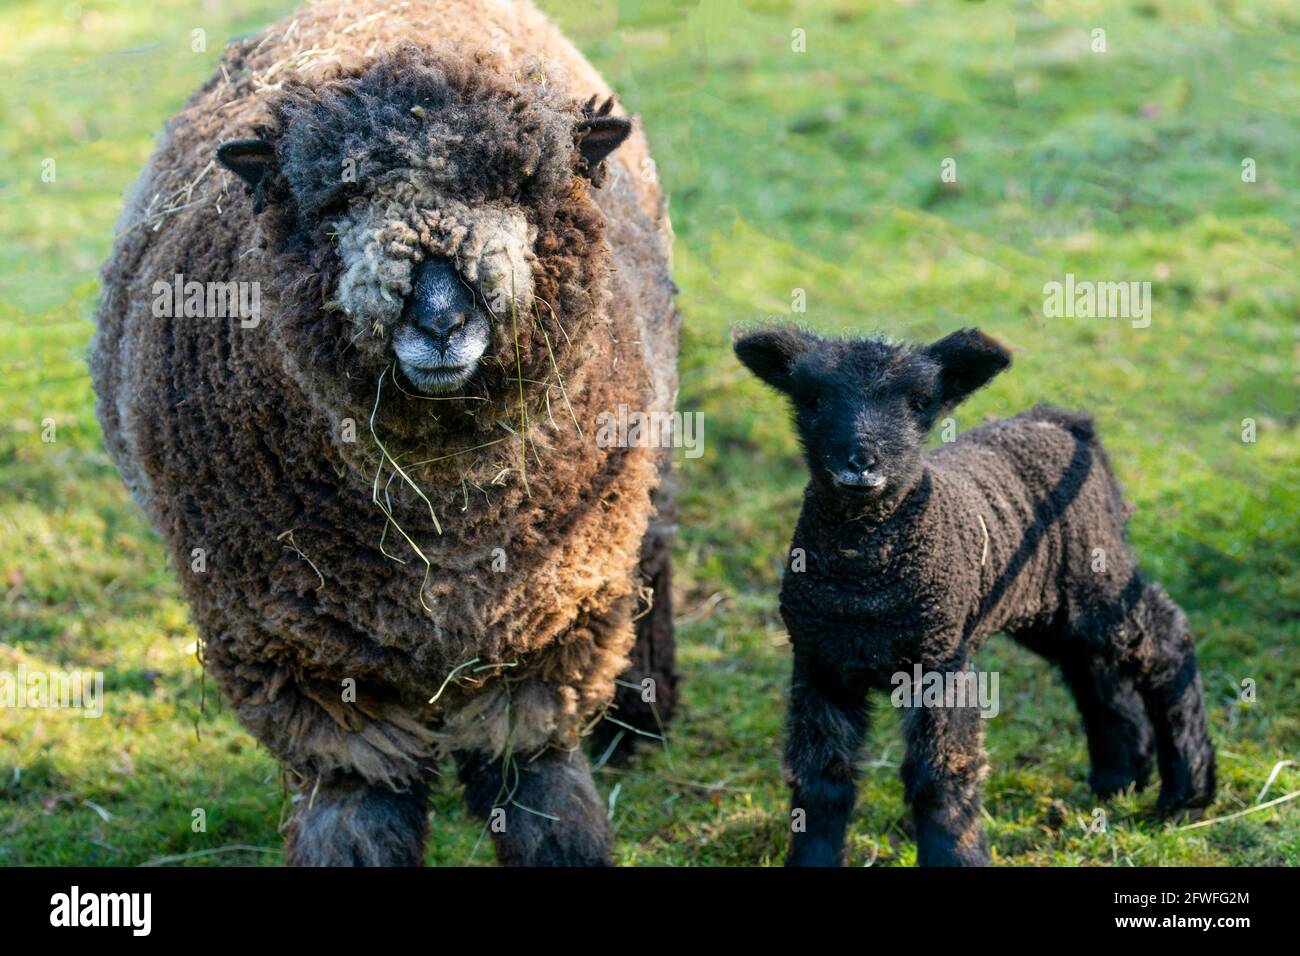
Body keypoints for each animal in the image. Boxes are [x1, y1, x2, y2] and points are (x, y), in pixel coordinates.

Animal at [90, 0, 680, 866]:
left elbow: (538, 794)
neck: (441, 510)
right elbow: (359, 809)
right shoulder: (307, 659)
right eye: (335, 201)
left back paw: (641, 717)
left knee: (657, 556)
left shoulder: (550, 625)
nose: (439, 321)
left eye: (522, 186)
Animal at [734, 326, 1216, 867]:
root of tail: (1060, 421)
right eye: (811, 398)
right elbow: (820, 780)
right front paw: (811, 857)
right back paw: (1120, 778)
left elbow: (941, 775)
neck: (866, 593)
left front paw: (956, 857)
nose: (861, 464)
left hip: (1098, 573)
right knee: (1092, 668)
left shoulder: (940, 661)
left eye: (920, 402)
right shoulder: (819, 663)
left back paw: (1187, 792)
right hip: (1050, 604)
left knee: (1165, 636)